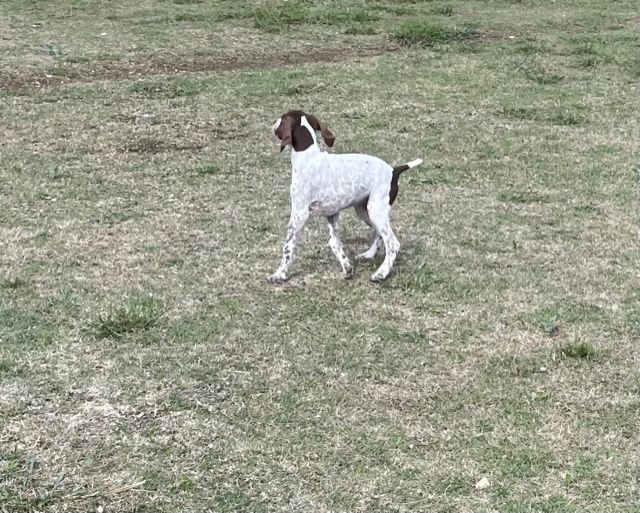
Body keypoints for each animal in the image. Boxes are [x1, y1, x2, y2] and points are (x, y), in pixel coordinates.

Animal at [268, 109, 422, 282]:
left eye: (282, 118)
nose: (273, 123)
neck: (308, 157)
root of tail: (394, 171)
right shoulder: (331, 214)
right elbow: (334, 242)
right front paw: (347, 267)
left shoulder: (299, 214)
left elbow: (288, 247)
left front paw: (280, 273)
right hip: (364, 211)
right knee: (379, 235)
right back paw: (369, 254)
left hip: (375, 210)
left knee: (392, 243)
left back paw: (381, 273)